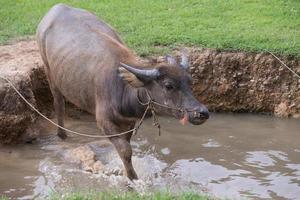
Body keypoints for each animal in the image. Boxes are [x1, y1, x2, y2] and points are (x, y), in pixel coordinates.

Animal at [37, 3, 209, 180]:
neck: (124, 88)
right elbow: (126, 150)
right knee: (59, 104)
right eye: (169, 86)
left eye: (190, 82)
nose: (202, 113)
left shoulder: (129, 122)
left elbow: (125, 145)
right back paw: (62, 135)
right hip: (50, 73)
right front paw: (133, 178)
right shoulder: (104, 122)